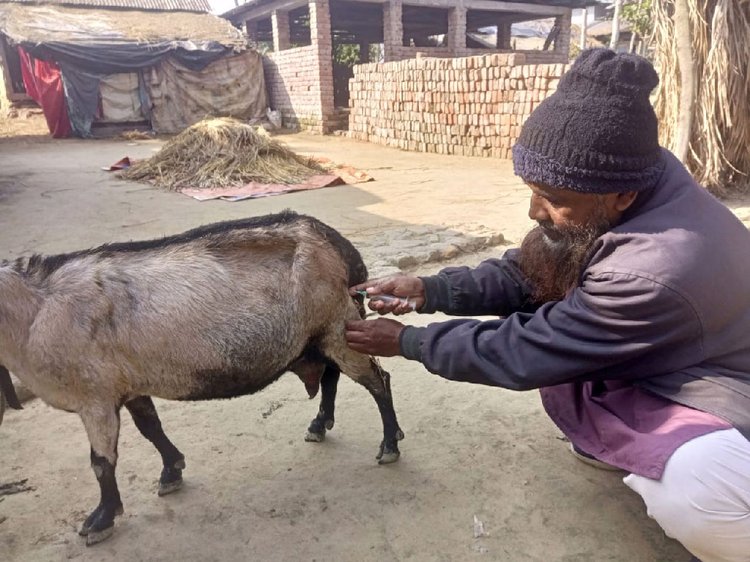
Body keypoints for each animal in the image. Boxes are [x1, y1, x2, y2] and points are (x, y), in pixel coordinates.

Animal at [0, 210, 406, 544]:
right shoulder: (128, 383)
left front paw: (100, 520)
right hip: (321, 334)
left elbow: (101, 462)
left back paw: (389, 444)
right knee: (330, 376)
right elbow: (151, 427)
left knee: (377, 380)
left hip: (339, 325)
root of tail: (339, 245)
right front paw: (171, 471)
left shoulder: (94, 397)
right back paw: (320, 425)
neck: (35, 312)